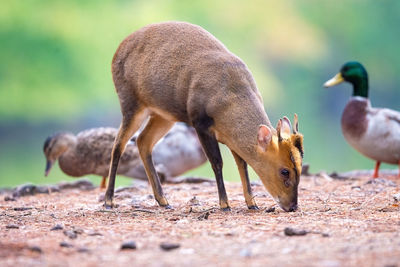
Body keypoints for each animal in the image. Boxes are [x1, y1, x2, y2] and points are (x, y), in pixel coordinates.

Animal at [104, 21, 304, 214]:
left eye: (300, 168)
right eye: (284, 171)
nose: (292, 206)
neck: (229, 98)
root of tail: (117, 51)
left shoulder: (229, 136)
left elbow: (242, 163)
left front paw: (252, 204)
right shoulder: (200, 121)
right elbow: (217, 162)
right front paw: (224, 204)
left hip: (164, 115)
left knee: (143, 141)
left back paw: (163, 201)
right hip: (130, 101)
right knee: (118, 145)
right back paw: (109, 201)